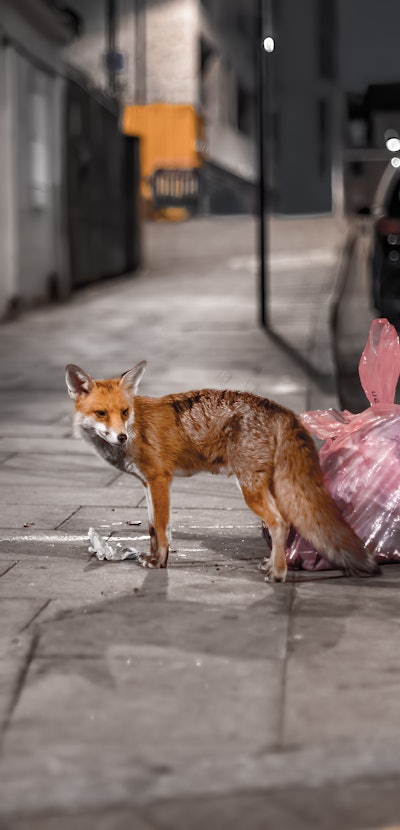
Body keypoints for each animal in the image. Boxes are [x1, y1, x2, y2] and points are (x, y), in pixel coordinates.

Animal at [65, 364, 378, 584]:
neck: (136, 426)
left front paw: (159, 563)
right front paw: (154, 557)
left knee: (278, 523)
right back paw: (274, 564)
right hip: (270, 486)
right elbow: (154, 527)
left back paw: (278, 575)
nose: (121, 437)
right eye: (101, 413)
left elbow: (161, 530)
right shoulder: (147, 484)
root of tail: (282, 409)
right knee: (287, 522)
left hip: (250, 487)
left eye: (124, 411)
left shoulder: (160, 480)